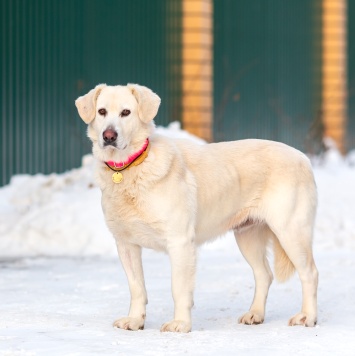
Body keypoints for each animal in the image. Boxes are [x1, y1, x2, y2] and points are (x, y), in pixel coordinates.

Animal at [76, 82, 320, 330]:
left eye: (126, 112)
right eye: (102, 111)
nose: (109, 136)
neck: (131, 167)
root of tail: (302, 157)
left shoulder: (180, 242)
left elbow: (179, 289)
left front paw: (181, 324)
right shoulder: (126, 244)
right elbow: (137, 288)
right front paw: (135, 320)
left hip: (291, 231)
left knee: (310, 273)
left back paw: (307, 317)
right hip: (247, 236)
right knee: (264, 275)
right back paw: (255, 314)